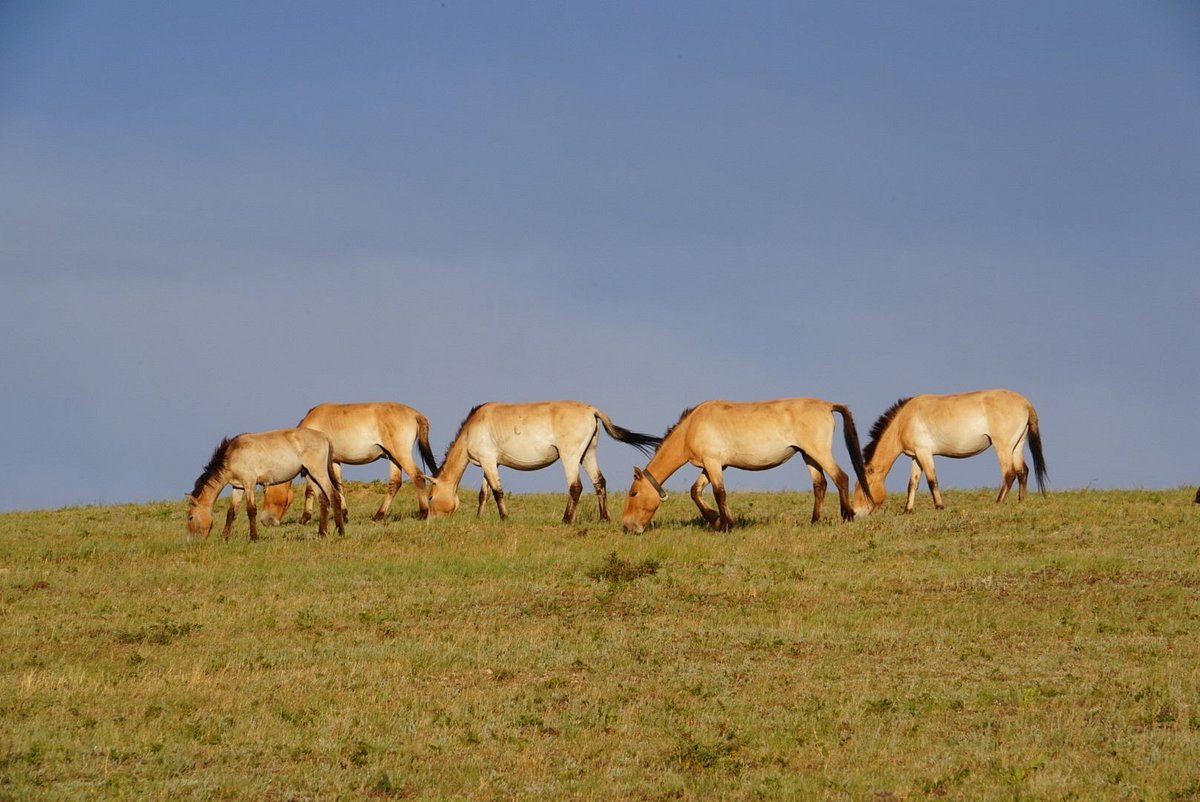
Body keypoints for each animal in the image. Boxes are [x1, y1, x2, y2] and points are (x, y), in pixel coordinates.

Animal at [186, 429, 348, 542]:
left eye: (190, 517)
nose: (191, 541)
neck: (232, 454)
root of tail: (324, 437)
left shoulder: (249, 483)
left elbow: (251, 510)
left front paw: (254, 537)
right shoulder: (238, 487)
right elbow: (231, 512)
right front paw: (224, 538)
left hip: (319, 473)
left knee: (334, 496)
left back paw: (340, 531)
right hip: (310, 475)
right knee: (323, 500)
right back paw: (322, 533)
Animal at [260, 401, 439, 525]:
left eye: (265, 492)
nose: (266, 521)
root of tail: (415, 414)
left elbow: (310, 490)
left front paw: (305, 517)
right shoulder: (334, 461)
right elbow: (338, 486)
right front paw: (344, 514)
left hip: (401, 455)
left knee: (417, 477)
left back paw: (423, 513)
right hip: (393, 458)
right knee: (394, 484)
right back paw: (378, 516)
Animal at [424, 401, 667, 525]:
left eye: (430, 496)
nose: (428, 518)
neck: (473, 426)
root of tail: (591, 410)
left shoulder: (487, 461)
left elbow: (497, 491)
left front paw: (504, 518)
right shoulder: (490, 463)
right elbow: (484, 493)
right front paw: (480, 516)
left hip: (570, 456)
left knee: (576, 487)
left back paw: (566, 520)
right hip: (588, 454)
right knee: (599, 482)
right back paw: (604, 518)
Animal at [624, 396, 868, 533]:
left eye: (634, 493)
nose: (627, 526)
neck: (692, 426)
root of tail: (826, 405)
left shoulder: (713, 463)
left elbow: (719, 493)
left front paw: (726, 525)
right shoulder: (713, 465)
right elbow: (696, 491)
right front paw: (716, 520)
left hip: (819, 452)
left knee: (841, 477)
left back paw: (847, 516)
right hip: (808, 455)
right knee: (820, 485)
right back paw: (815, 521)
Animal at [854, 388, 1051, 513]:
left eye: (863, 488)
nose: (855, 513)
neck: (904, 420)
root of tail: (1025, 403)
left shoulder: (925, 453)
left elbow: (932, 481)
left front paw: (939, 506)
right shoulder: (916, 456)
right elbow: (912, 484)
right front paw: (907, 510)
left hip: (1003, 447)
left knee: (1009, 473)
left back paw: (998, 502)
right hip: (1016, 446)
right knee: (1022, 471)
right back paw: (1021, 501)